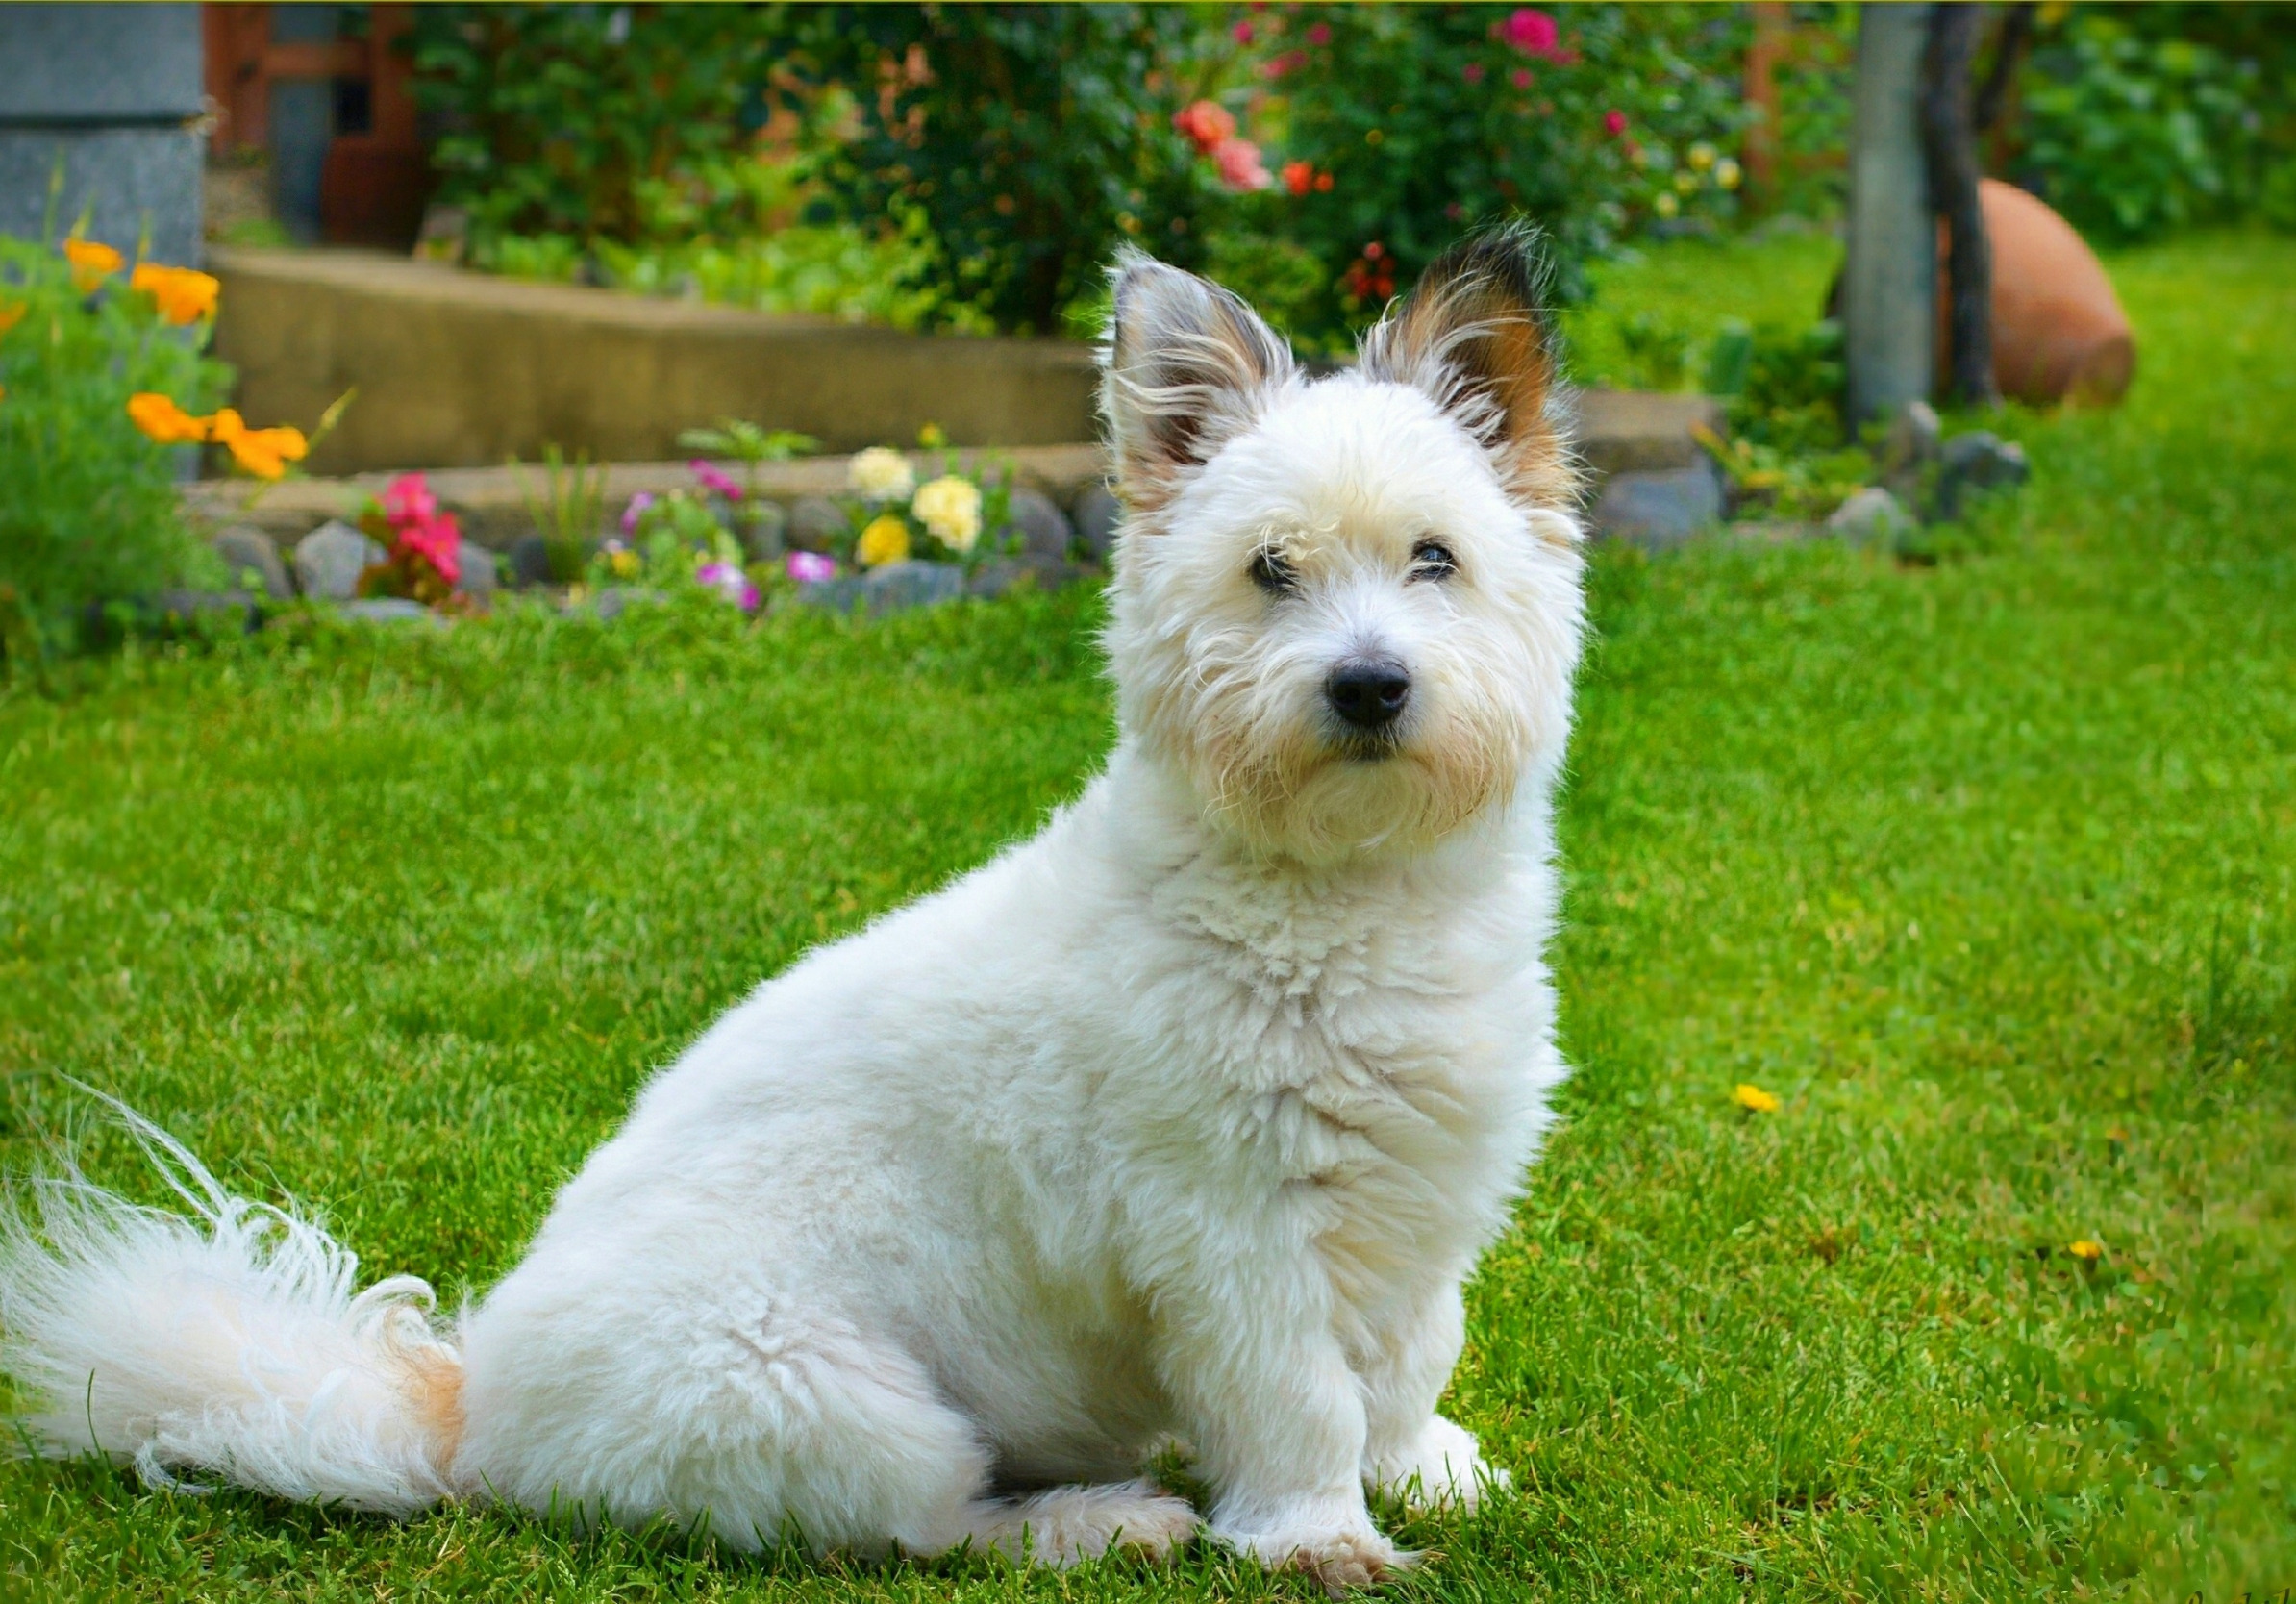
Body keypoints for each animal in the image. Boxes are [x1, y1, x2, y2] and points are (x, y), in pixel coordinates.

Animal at [0, 227, 1579, 1590]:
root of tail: (472, 1422)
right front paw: (1322, 1536)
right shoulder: (1231, 1239)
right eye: (1270, 572)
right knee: (931, 1530)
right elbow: (1301, 1399)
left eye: (1435, 558)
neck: (1339, 896)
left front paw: (1426, 1472)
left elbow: (1407, 1362)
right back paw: (1095, 1521)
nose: (1368, 685)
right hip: (846, 1400)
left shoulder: (1422, 1208)